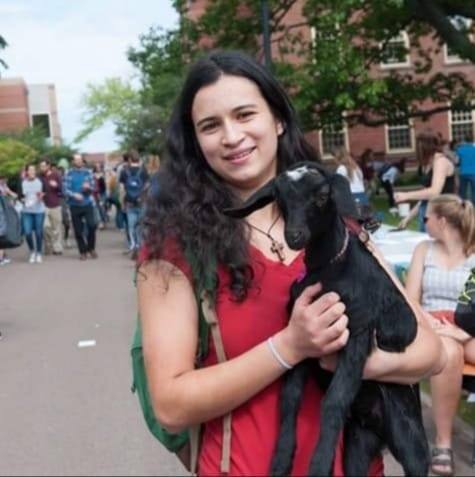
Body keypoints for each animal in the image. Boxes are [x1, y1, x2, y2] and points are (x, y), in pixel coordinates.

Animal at [225, 163, 430, 476]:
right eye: (280, 198)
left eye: (322, 196)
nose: (294, 235)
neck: (328, 270)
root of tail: (379, 432)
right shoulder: (305, 340)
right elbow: (290, 397)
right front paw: (281, 459)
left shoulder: (358, 332)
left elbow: (334, 400)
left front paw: (319, 465)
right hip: (359, 440)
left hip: (410, 435)